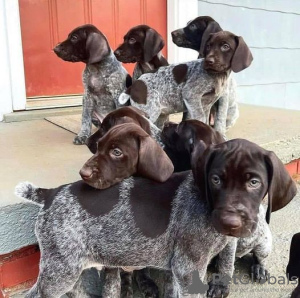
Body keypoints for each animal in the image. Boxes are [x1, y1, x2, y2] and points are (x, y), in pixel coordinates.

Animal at [118, 30, 252, 132]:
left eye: (226, 46)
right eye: (208, 46)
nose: (209, 61)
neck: (217, 76)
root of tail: (136, 84)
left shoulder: (207, 105)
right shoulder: (191, 95)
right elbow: (200, 119)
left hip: (160, 115)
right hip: (149, 111)